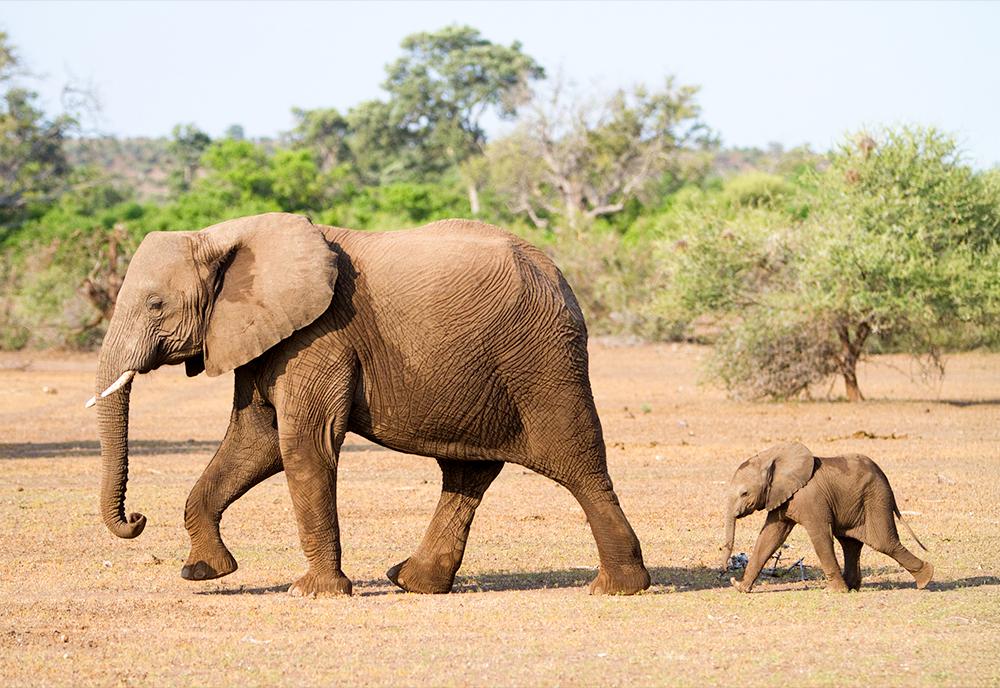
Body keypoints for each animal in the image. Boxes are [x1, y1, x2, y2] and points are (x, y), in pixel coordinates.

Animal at [90, 214, 652, 596]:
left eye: (155, 305)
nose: (137, 518)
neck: (224, 235)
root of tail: (559, 276)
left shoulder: (320, 335)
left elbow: (303, 446)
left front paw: (313, 593)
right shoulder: (265, 334)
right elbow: (254, 442)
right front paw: (204, 571)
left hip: (542, 362)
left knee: (578, 464)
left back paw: (618, 587)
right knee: (467, 473)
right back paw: (413, 582)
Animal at [720, 444, 928, 592]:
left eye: (744, 493)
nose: (726, 571)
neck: (771, 459)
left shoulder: (810, 498)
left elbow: (820, 535)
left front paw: (836, 592)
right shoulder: (782, 497)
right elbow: (770, 536)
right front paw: (741, 588)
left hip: (876, 499)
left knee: (883, 542)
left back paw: (925, 580)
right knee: (850, 543)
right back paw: (852, 587)